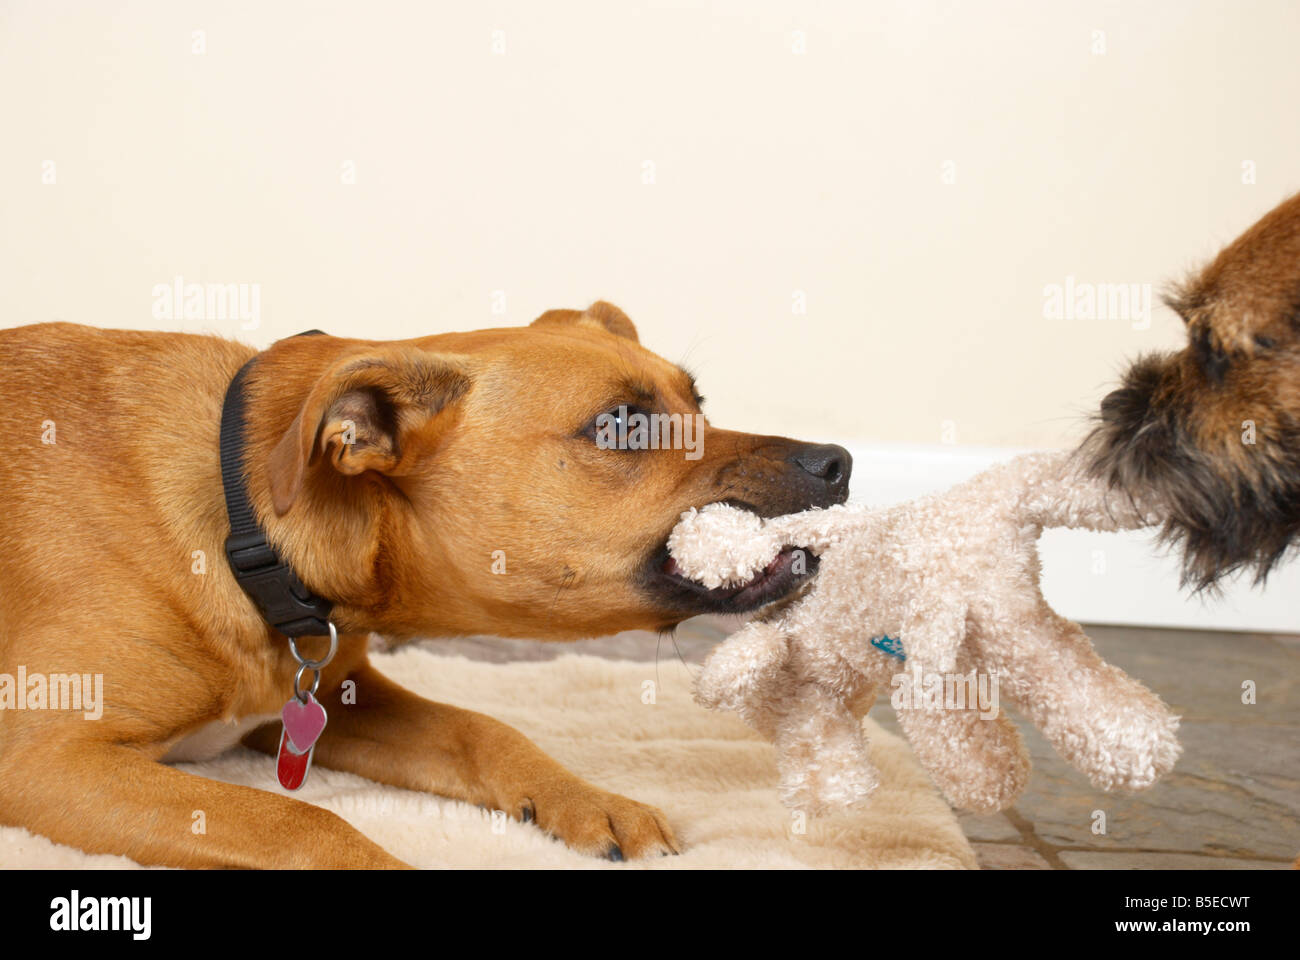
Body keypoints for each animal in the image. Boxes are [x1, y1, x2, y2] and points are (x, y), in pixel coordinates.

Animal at [0, 303, 852, 863]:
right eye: (621, 425)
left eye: (697, 400)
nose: (839, 462)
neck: (250, 524)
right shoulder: (50, 760)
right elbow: (300, 824)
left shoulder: (332, 702)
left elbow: (480, 729)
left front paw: (590, 801)